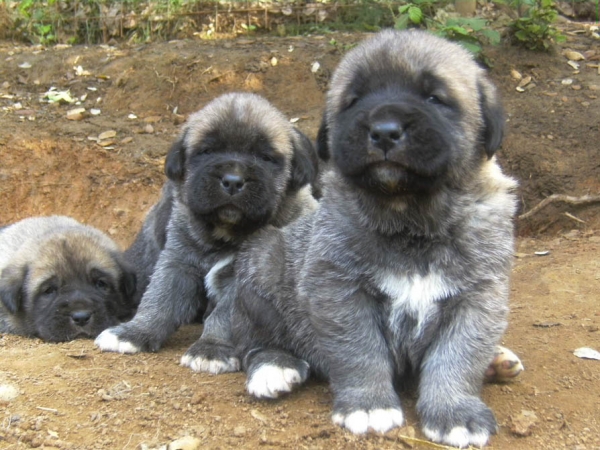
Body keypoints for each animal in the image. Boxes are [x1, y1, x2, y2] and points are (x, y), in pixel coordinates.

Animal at [94, 91, 318, 372]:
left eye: (265, 157)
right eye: (207, 151)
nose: (232, 181)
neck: (227, 234)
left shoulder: (241, 280)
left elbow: (223, 317)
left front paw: (211, 349)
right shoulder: (178, 261)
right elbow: (159, 298)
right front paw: (134, 333)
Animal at [227, 29, 516, 448]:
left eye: (434, 97)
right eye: (353, 101)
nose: (384, 131)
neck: (410, 220)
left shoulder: (478, 297)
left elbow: (457, 358)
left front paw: (454, 411)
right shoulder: (340, 291)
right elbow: (360, 351)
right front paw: (368, 405)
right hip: (263, 264)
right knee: (257, 339)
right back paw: (274, 367)